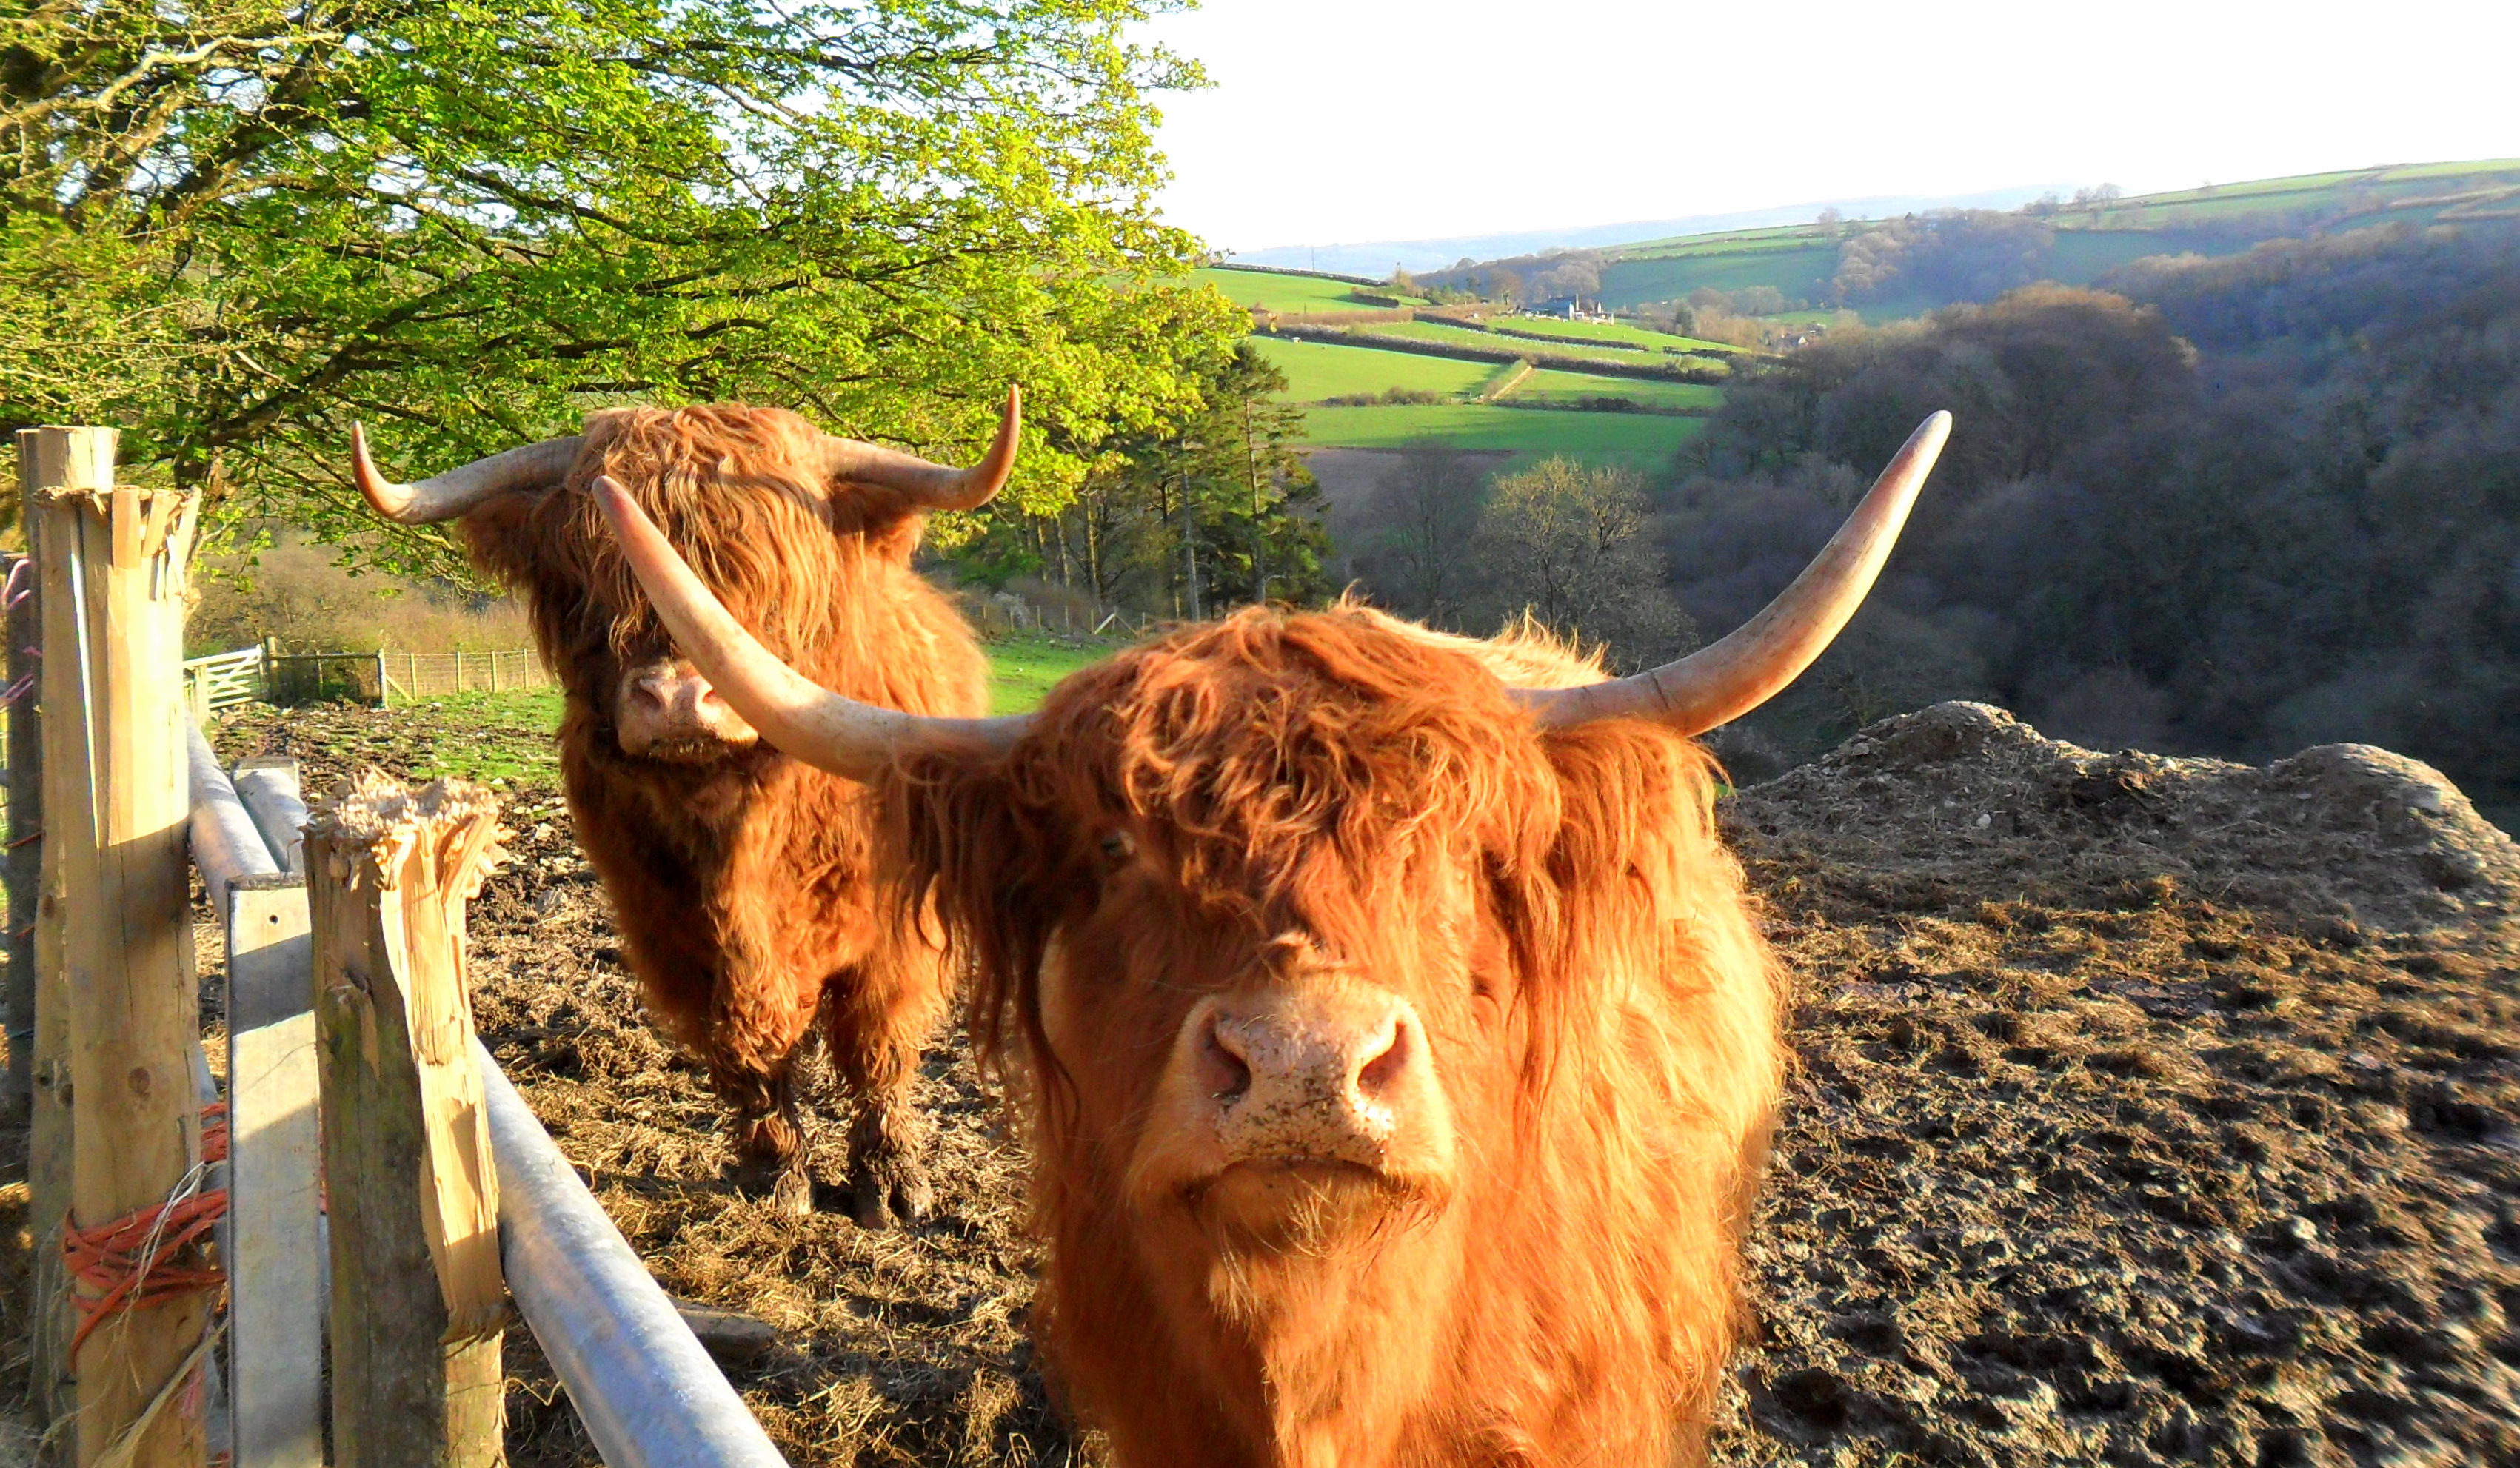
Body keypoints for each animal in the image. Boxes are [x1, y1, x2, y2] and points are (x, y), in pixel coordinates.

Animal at [350, 392, 1017, 1228]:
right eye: (586, 569)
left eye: (767, 567)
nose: (674, 698)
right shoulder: (672, 933)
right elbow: (743, 1048)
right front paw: (775, 1174)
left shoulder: (899, 936)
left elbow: (877, 1045)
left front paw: (891, 1184)